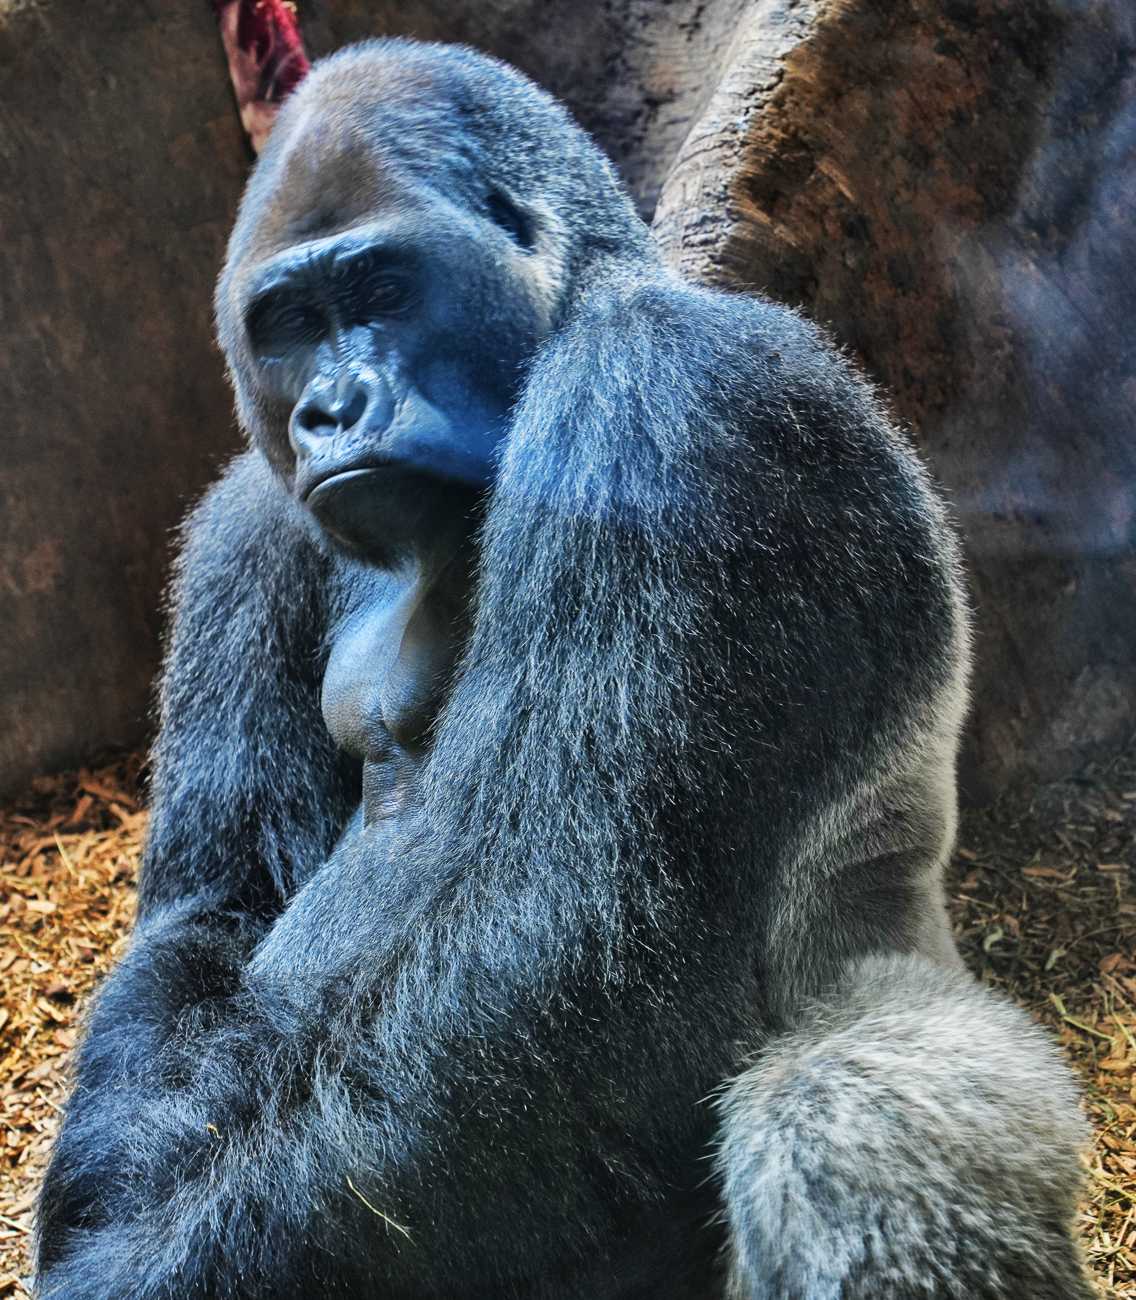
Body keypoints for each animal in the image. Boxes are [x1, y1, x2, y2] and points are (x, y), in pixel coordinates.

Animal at [35, 39, 1092, 1300]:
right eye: (287, 317)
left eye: (383, 287)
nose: (331, 408)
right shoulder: (246, 528)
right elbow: (214, 910)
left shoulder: (671, 403)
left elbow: (562, 945)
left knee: (842, 1114)